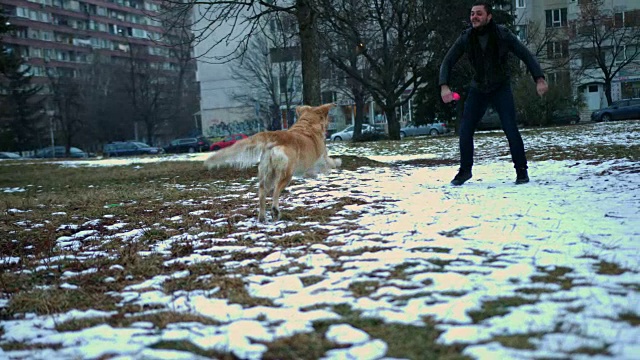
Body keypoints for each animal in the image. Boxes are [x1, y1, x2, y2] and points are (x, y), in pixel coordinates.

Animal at [206, 102, 342, 222]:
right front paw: (337, 163)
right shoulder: (321, 157)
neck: (307, 125)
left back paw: (262, 217)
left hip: (266, 172)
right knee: (276, 190)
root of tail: (277, 136)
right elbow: (329, 162)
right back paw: (275, 210)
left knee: (262, 194)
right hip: (285, 173)